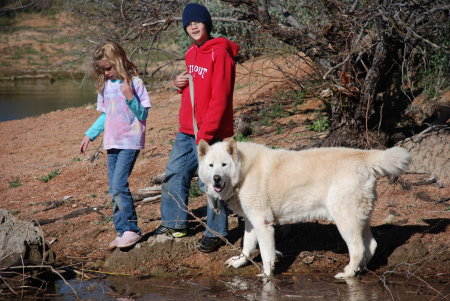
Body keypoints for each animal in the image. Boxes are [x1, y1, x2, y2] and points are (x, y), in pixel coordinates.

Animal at [197, 138, 412, 276]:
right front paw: (239, 263)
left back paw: (348, 274)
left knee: (358, 249)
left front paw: (266, 276)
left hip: (345, 221)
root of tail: (364, 157)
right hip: (361, 219)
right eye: (211, 166)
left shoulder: (263, 224)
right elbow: (247, 248)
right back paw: (360, 270)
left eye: (224, 165)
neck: (244, 170)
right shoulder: (252, 222)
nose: (216, 179)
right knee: (371, 245)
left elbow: (266, 254)